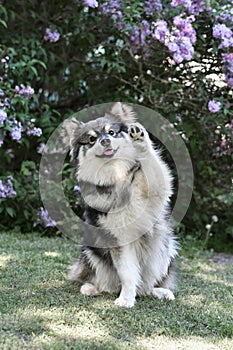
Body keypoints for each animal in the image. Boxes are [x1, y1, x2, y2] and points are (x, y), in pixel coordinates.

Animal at [62, 102, 178, 308]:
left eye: (112, 132)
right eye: (91, 139)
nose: (105, 141)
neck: (116, 174)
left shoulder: (157, 190)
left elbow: (155, 168)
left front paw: (140, 138)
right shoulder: (118, 242)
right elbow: (127, 273)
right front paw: (126, 299)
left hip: (166, 249)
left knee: (147, 286)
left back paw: (160, 291)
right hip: (90, 252)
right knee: (104, 283)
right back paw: (91, 288)